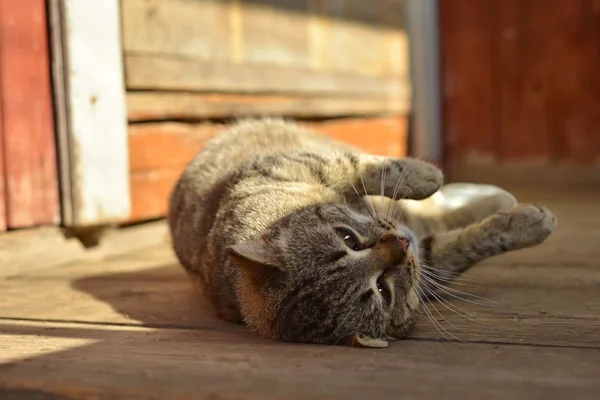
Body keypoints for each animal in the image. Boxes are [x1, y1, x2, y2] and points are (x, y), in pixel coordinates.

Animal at [166, 118, 556, 346]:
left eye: (348, 238)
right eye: (382, 289)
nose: (399, 243)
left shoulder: (279, 165)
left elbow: (358, 167)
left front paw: (424, 176)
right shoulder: (425, 263)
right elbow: (463, 245)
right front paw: (529, 223)